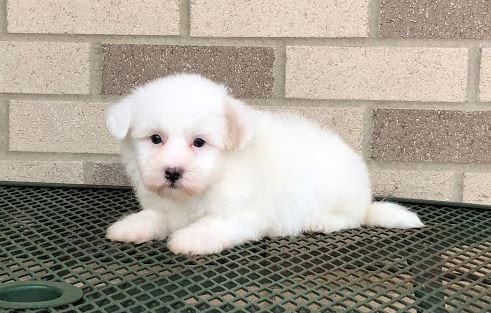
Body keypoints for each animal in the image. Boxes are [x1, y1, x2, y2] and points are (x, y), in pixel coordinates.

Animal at [104, 73, 422, 254]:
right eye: (156, 139)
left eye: (199, 143)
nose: (172, 172)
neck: (217, 175)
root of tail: (367, 201)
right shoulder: (167, 207)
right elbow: (156, 216)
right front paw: (132, 226)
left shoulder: (244, 215)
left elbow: (215, 225)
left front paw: (191, 239)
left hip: (338, 195)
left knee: (350, 218)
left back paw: (320, 221)